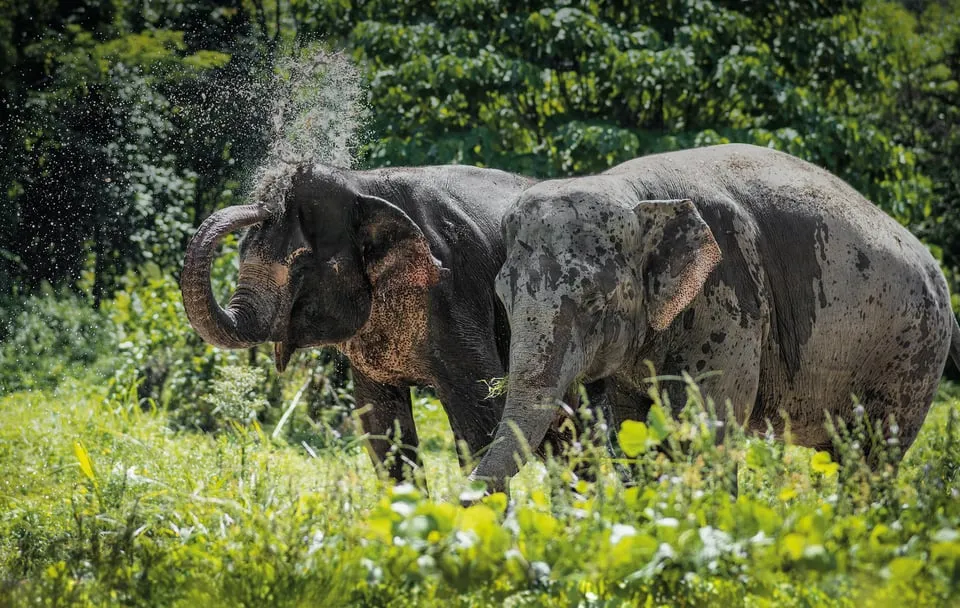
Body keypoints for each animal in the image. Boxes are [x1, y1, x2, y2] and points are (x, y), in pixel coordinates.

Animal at [181, 162, 535, 482]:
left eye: (302, 267)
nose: (265, 203)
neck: (361, 185)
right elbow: (381, 427)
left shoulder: (456, 293)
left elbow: (483, 416)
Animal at [469, 143, 960, 492]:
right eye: (503, 298)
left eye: (593, 302)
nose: (467, 495)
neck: (635, 193)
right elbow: (634, 428)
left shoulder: (730, 300)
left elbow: (707, 427)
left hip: (911, 354)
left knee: (873, 455)